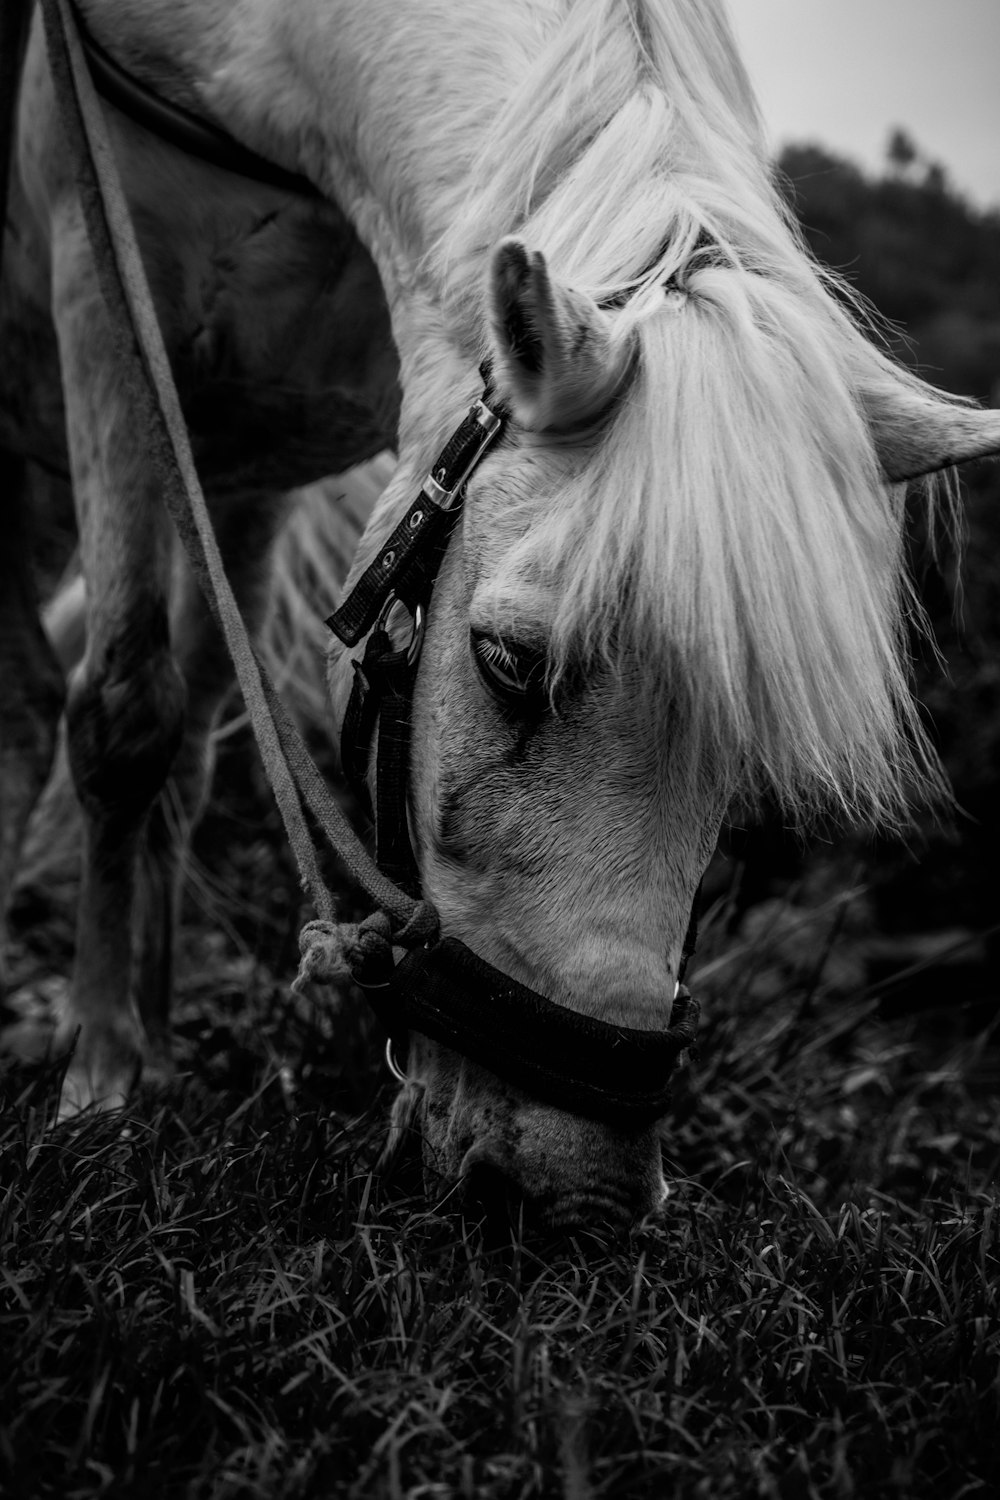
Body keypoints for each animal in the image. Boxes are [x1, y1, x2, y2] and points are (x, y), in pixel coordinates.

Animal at [1, 0, 1000, 1230]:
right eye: (510, 662)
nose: (577, 1203)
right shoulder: (105, 298)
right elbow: (124, 718)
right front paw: (99, 1074)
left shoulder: (266, 437)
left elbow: (183, 744)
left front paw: (144, 1040)